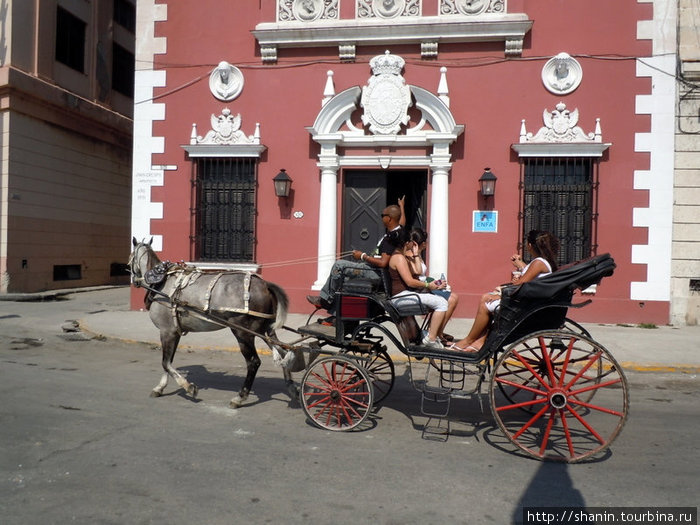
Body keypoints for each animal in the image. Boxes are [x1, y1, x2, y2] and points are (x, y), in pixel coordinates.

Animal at [129, 236, 298, 406]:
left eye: (130, 260)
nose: (134, 280)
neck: (161, 282)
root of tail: (265, 285)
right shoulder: (174, 332)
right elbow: (168, 361)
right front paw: (160, 387)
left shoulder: (166, 331)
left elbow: (165, 362)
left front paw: (188, 387)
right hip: (265, 329)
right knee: (283, 352)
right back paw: (292, 388)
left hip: (243, 332)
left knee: (253, 362)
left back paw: (240, 396)